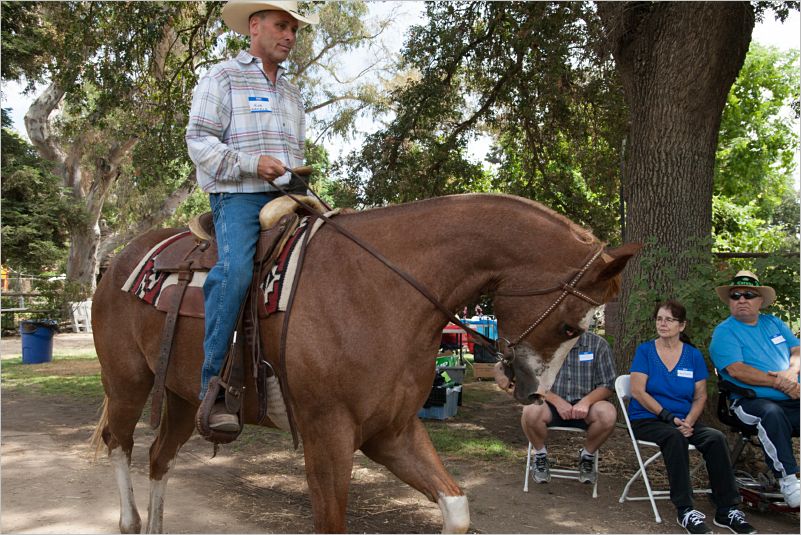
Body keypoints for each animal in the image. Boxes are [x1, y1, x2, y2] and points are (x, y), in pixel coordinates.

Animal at [89, 194, 636, 535]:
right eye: (570, 327)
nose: (530, 389)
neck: (381, 286)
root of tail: (117, 263)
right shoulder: (328, 436)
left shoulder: (391, 433)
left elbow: (456, 508)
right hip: (128, 383)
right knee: (120, 443)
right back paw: (129, 520)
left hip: (182, 397)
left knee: (159, 458)